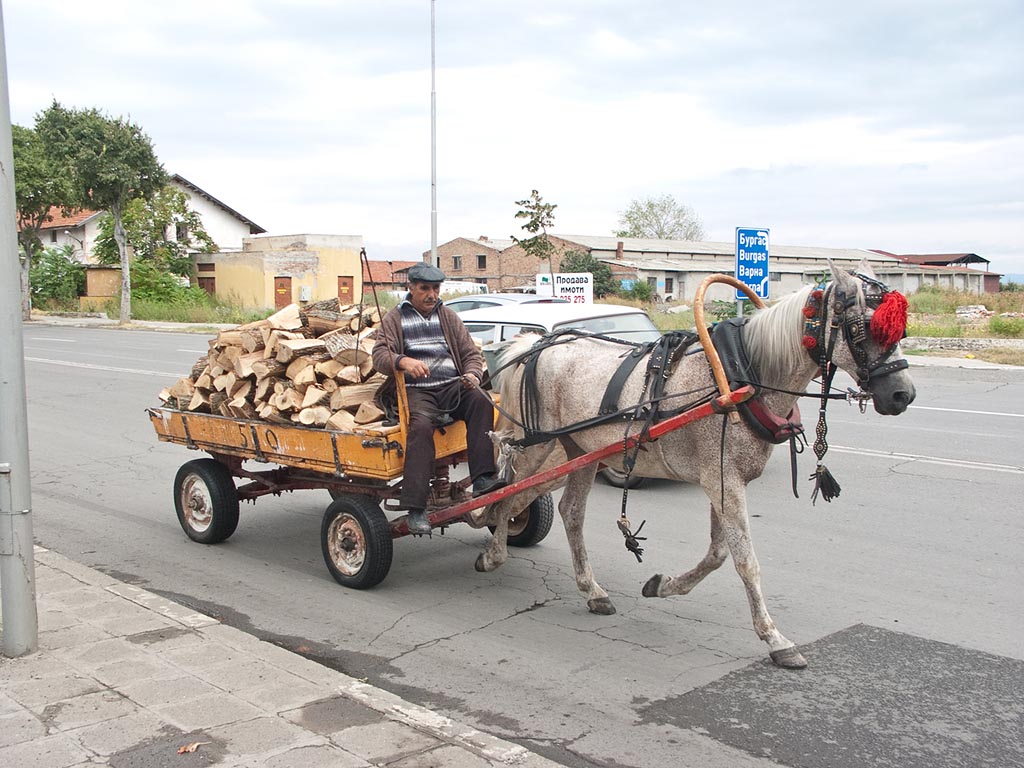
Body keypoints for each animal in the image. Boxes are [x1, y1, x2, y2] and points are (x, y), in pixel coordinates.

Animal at [475, 262, 917, 671]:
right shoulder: (723, 479)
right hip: (538, 445)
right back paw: (494, 554)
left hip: (581, 450)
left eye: (898, 331)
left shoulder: (723, 479)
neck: (741, 375)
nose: (903, 395)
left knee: (567, 511)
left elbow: (718, 554)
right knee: (508, 491)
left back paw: (591, 589)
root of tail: (535, 344)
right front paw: (775, 639)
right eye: (863, 328)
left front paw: (661, 585)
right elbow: (745, 561)